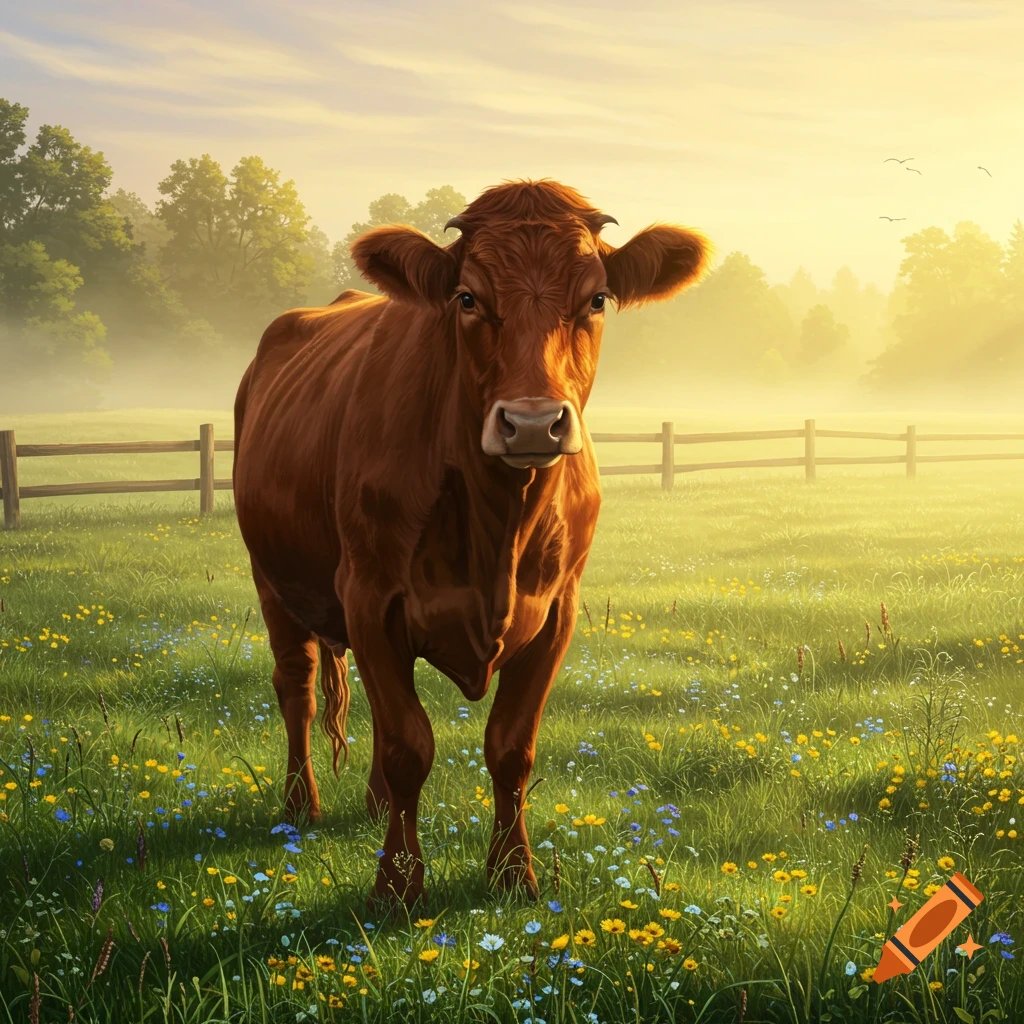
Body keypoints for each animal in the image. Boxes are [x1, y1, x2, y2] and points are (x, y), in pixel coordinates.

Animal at [232, 179, 710, 907]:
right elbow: (409, 745)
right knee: (298, 687)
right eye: (467, 298)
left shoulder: (558, 610)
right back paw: (299, 806)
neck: (497, 527)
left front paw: (514, 875)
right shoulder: (371, 594)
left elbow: (510, 746)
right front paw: (398, 887)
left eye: (596, 299)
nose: (534, 424)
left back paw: (372, 804)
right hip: (272, 578)